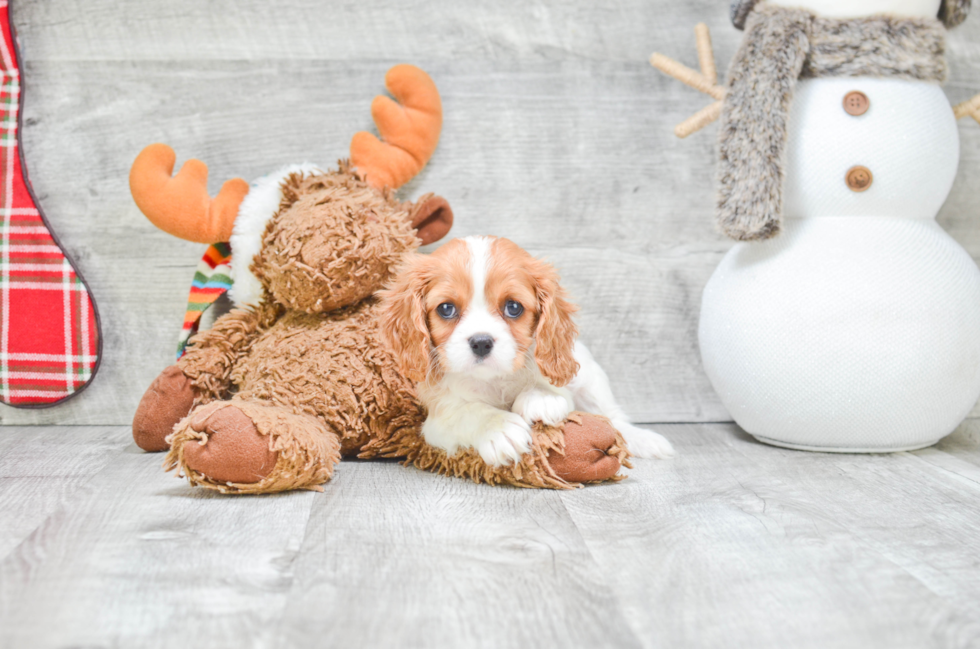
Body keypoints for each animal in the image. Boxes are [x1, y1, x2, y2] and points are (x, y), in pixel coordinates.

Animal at [378, 235, 672, 464]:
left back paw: (643, 439)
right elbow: (466, 411)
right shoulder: (437, 419)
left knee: (611, 417)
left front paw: (540, 398)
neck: (493, 380)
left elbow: (550, 388)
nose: (481, 342)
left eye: (513, 307)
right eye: (446, 309)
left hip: (591, 379)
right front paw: (498, 428)